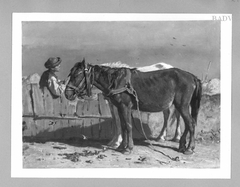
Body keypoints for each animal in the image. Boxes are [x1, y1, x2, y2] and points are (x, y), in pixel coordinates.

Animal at [64, 59, 202, 155]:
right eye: (70, 74)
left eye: (77, 74)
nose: (67, 93)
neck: (117, 81)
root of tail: (192, 76)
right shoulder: (119, 107)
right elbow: (123, 126)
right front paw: (121, 146)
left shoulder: (124, 107)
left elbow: (127, 126)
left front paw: (127, 148)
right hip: (180, 105)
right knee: (186, 122)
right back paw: (180, 144)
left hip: (181, 105)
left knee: (189, 123)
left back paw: (188, 148)